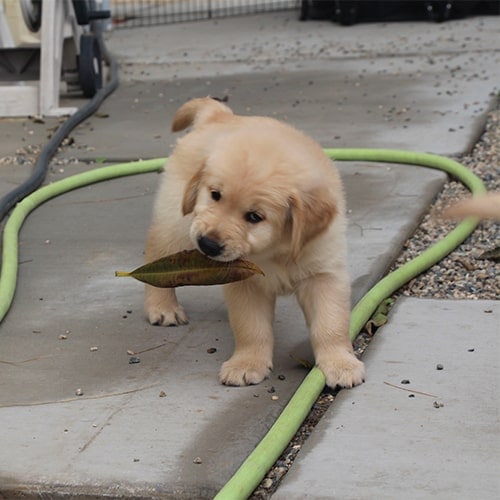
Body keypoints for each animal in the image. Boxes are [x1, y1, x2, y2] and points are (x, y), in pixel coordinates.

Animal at [145, 95, 364, 388]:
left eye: (254, 217)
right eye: (215, 195)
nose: (208, 245)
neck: (275, 251)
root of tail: (221, 115)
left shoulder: (324, 275)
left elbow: (330, 324)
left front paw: (340, 363)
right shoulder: (245, 283)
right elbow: (251, 327)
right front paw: (247, 363)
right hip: (177, 223)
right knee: (156, 252)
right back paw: (163, 307)